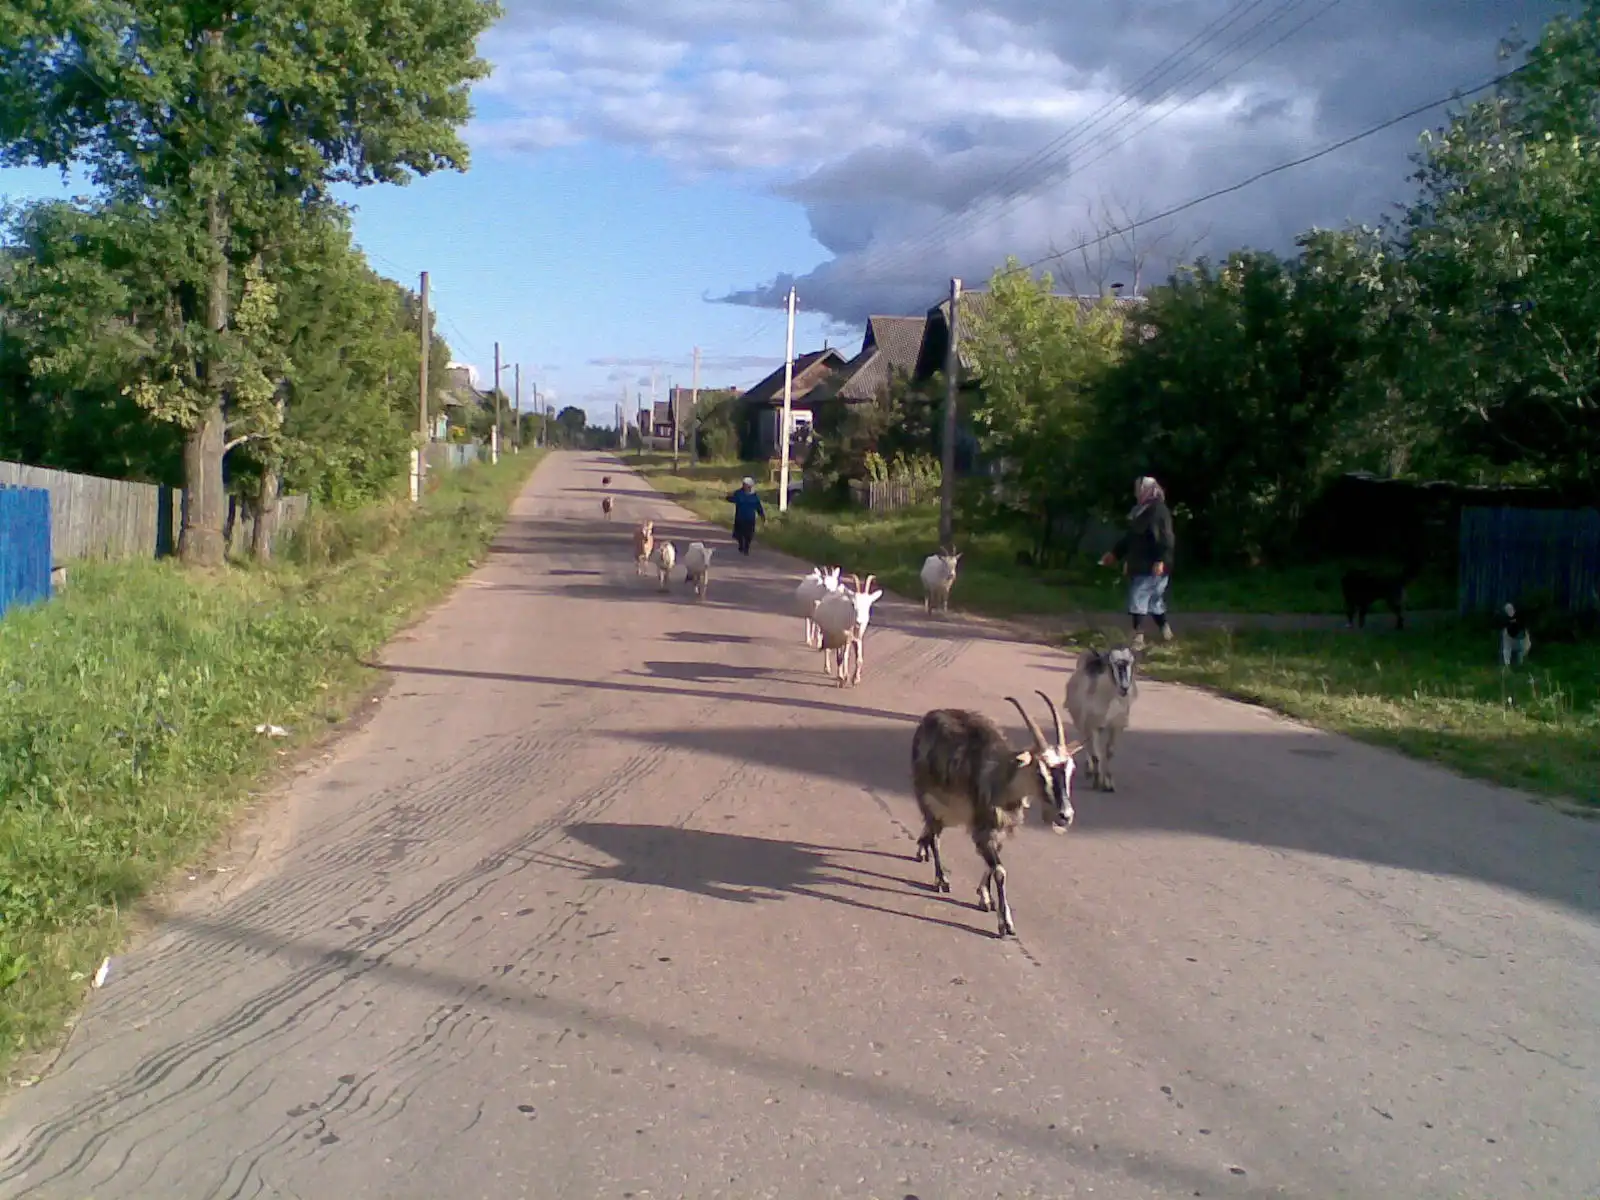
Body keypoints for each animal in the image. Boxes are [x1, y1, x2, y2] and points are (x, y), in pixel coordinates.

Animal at [910, 691, 1081, 938]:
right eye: (1040, 772)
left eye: (1070, 769)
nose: (1065, 815)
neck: (1001, 779)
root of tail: (926, 720)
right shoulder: (983, 829)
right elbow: (999, 870)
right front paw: (1005, 923)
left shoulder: (999, 831)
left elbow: (991, 864)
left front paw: (984, 897)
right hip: (928, 799)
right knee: (935, 836)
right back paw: (941, 879)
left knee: (932, 831)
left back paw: (922, 849)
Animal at [1063, 645, 1139, 793]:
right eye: (1112, 663)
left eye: (1131, 662)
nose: (1124, 688)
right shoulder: (1092, 725)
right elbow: (1096, 755)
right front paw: (1098, 780)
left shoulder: (1116, 726)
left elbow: (1109, 752)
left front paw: (1108, 782)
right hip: (1081, 721)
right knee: (1087, 743)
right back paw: (1090, 770)